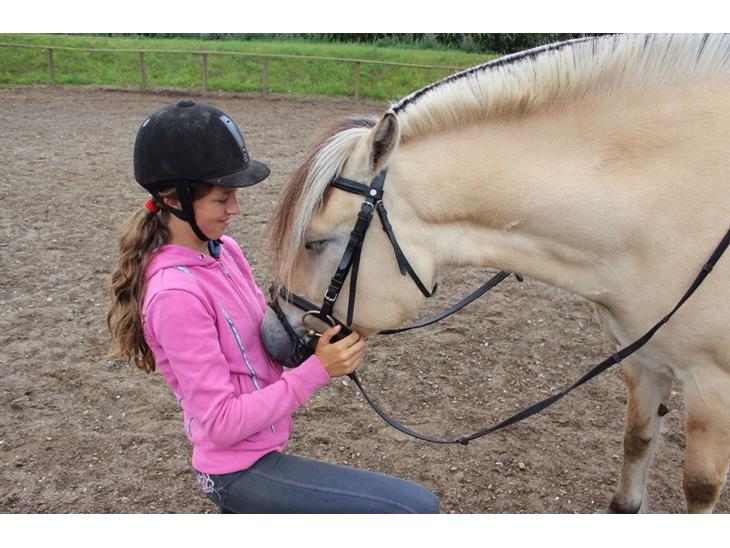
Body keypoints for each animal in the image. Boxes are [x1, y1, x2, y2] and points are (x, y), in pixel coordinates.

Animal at [260, 34, 730, 513]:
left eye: (314, 241)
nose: (269, 335)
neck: (662, 206)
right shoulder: (643, 359)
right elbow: (633, 457)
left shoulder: (713, 388)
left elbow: (700, 486)